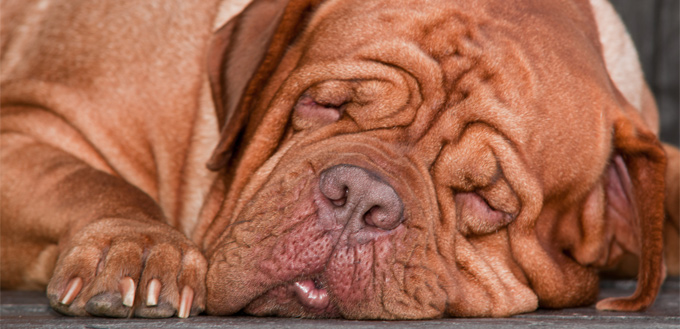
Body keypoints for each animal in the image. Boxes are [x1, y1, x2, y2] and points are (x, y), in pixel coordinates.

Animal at [1, 0, 680, 320]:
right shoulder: (27, 122)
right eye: (324, 104)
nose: (360, 197)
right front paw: (140, 249)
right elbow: (89, 179)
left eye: (489, 201)